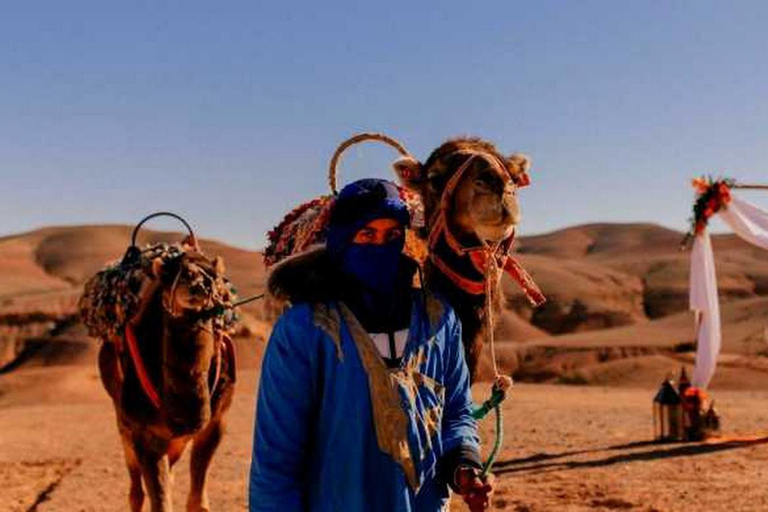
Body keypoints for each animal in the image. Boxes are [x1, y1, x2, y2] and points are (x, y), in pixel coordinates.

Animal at [91, 247, 234, 508]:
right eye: (170, 274)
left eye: (212, 275)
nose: (197, 282)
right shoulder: (145, 433)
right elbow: (160, 501)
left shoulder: (216, 423)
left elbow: (197, 502)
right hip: (123, 421)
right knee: (136, 490)